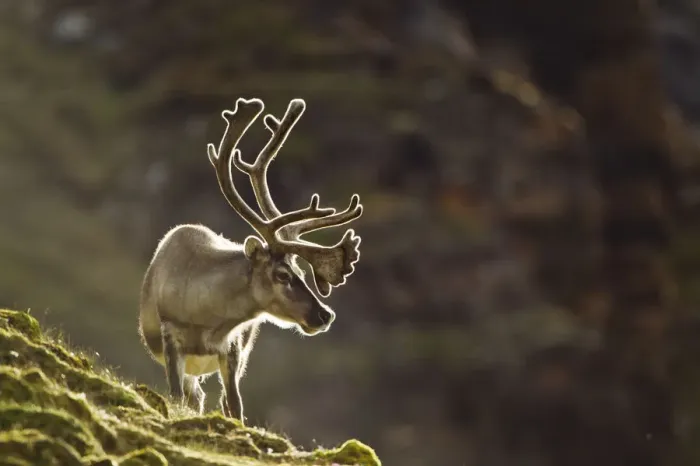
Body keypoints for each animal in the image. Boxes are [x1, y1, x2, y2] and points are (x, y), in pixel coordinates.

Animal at [138, 97, 363, 424]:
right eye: (282, 274)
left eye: (301, 270)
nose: (325, 315)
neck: (204, 316)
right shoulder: (170, 336)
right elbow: (176, 395)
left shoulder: (232, 347)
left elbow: (234, 406)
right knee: (194, 395)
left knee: (209, 397)